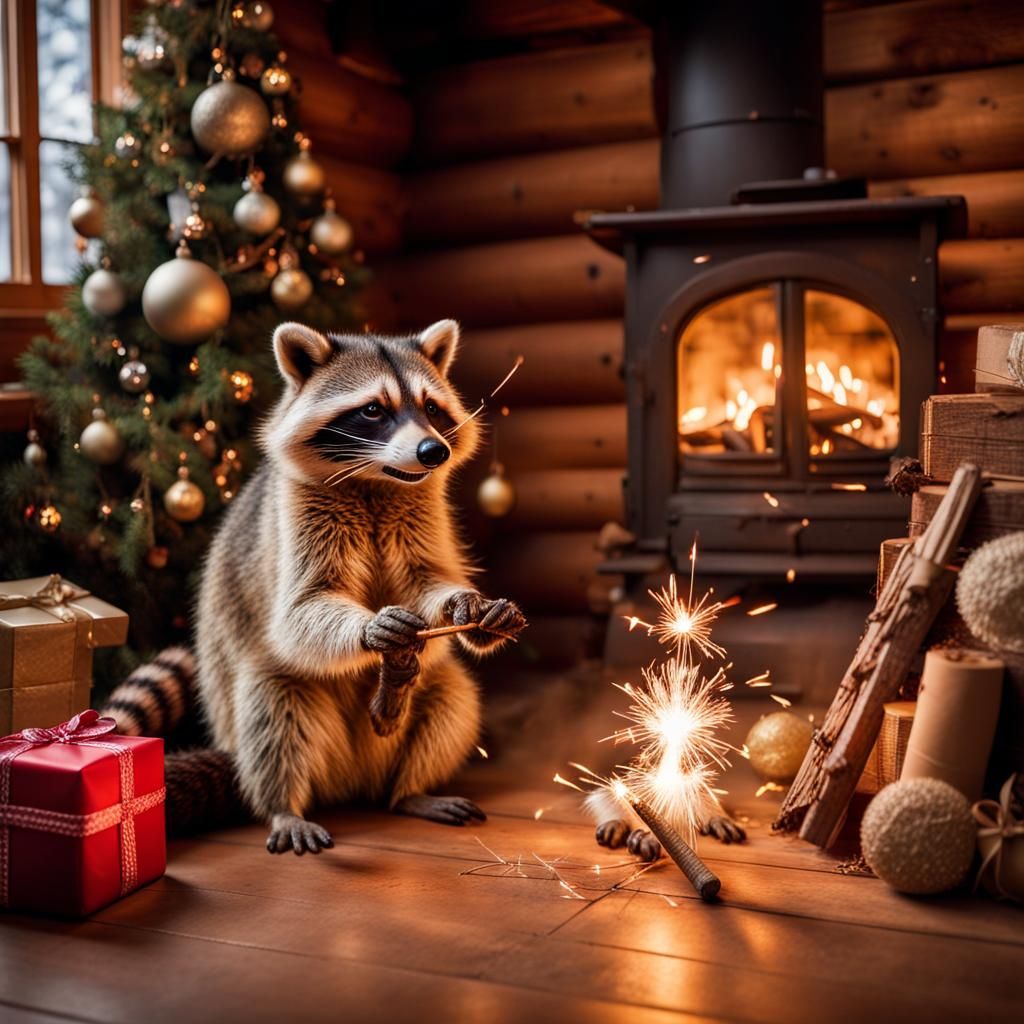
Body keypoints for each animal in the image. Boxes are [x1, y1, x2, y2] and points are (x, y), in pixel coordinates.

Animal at [195, 319, 525, 855]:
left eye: (431, 408)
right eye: (373, 410)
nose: (435, 451)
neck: (378, 482)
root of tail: (353, 780)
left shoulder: (422, 512)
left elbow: (427, 578)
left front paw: (467, 606)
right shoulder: (297, 515)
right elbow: (298, 611)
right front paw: (370, 629)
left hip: (410, 729)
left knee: (452, 699)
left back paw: (409, 779)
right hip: (266, 708)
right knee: (273, 712)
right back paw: (284, 805)